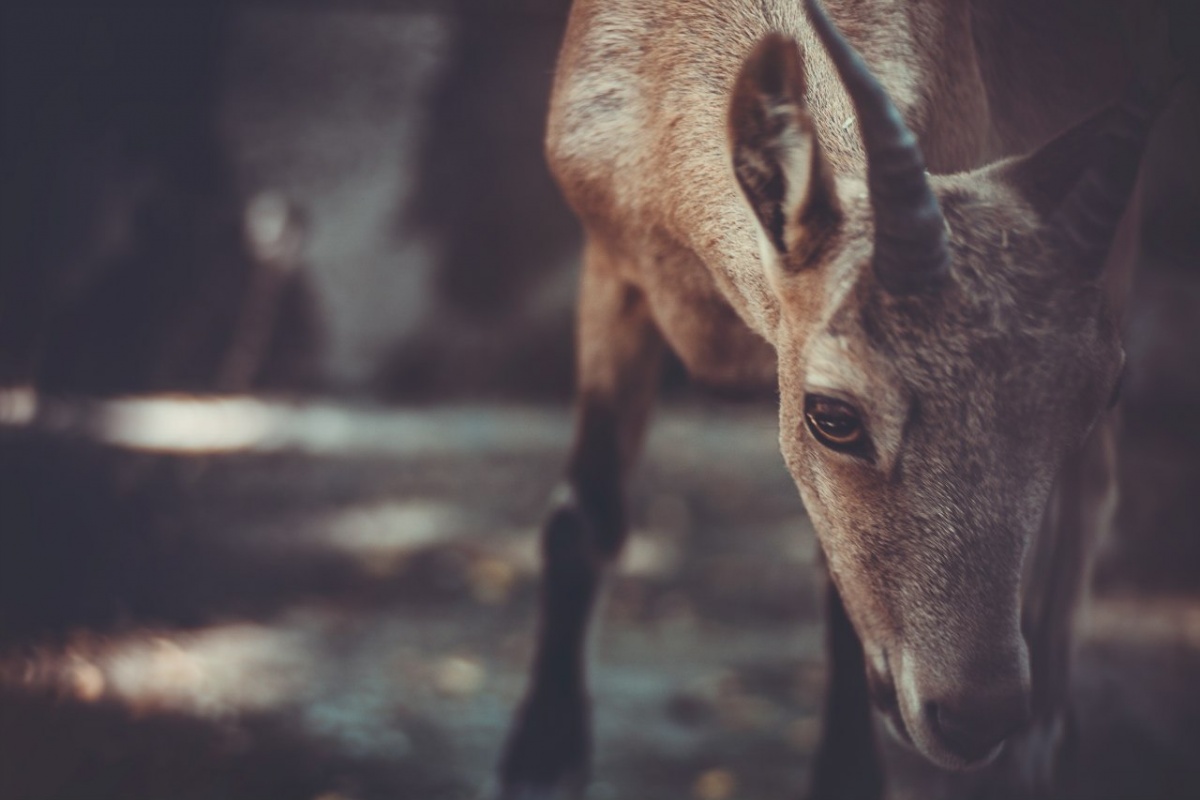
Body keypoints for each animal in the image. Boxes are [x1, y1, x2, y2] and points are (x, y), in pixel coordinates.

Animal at [494, 0, 1177, 797]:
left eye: (1096, 396)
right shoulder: (615, 269)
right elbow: (585, 515)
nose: (975, 719)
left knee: (1090, 494)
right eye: (833, 416)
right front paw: (541, 760)